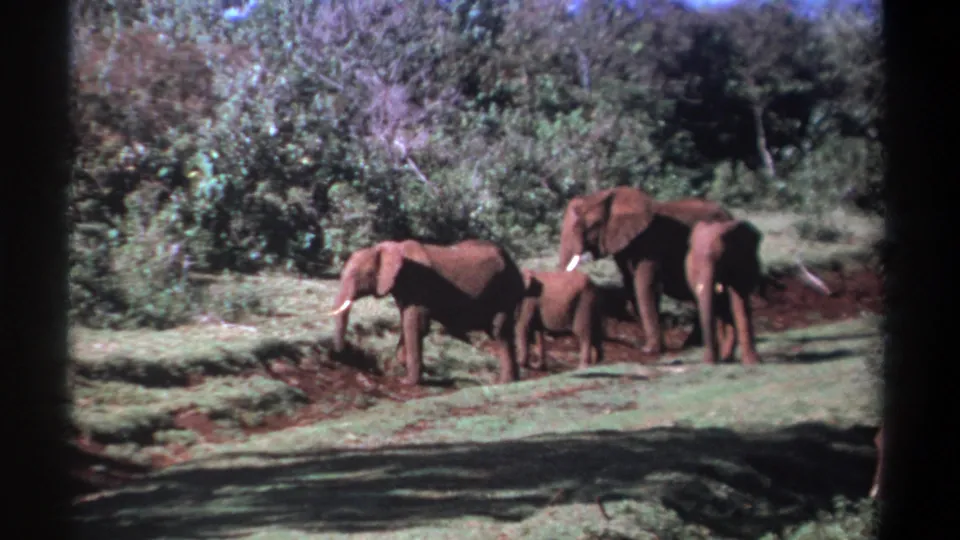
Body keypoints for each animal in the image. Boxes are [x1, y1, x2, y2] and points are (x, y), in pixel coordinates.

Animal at [327, 239, 526, 385]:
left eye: (357, 275)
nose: (343, 354)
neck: (390, 248)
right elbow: (406, 321)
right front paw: (405, 362)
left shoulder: (419, 284)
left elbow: (415, 324)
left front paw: (408, 381)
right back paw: (512, 381)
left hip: (505, 290)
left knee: (499, 332)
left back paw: (504, 382)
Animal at [558, 187, 735, 355]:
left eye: (592, 226)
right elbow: (632, 284)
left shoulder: (650, 243)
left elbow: (645, 285)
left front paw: (649, 350)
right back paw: (692, 345)